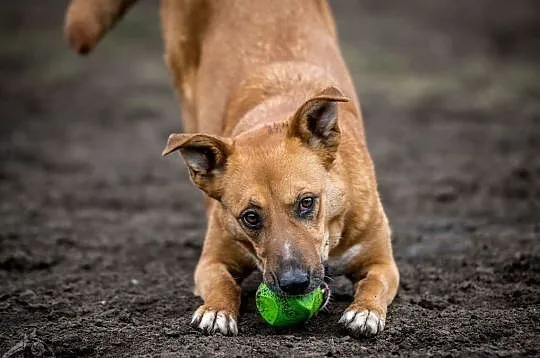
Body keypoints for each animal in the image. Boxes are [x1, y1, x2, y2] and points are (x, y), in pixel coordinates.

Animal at [64, 0, 400, 338]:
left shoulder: (383, 262)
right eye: (249, 217)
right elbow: (222, 282)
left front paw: (365, 311)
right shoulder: (212, 260)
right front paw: (216, 311)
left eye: (307, 202)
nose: (294, 284)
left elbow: (375, 282)